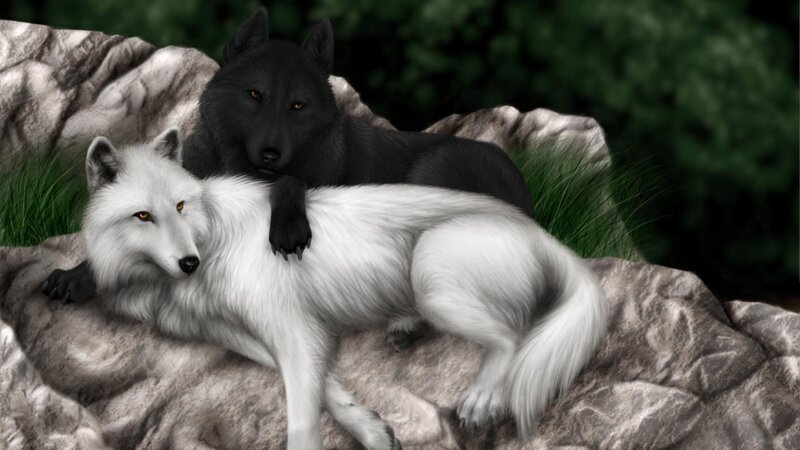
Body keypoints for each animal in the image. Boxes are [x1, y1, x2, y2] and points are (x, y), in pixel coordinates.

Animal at [44, 8, 532, 349]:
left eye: (298, 105)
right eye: (254, 95)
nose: (271, 154)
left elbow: (292, 182)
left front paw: (289, 227)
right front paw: (76, 275)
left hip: (429, 179)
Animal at [78, 129, 606, 449]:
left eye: (181, 206)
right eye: (143, 215)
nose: (190, 263)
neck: (213, 237)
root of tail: (539, 232)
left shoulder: (292, 331)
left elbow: (302, 418)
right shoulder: (254, 336)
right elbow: (329, 386)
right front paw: (372, 430)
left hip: (431, 271)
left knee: (513, 337)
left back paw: (481, 398)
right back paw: (405, 328)